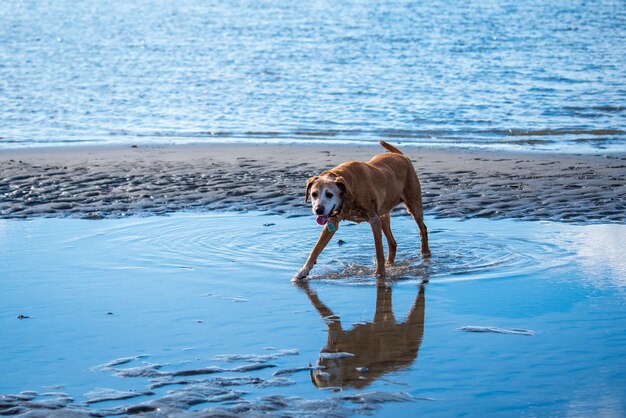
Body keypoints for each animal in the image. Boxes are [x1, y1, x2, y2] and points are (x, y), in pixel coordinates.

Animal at [292, 140, 428, 280]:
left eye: (329, 194)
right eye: (313, 194)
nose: (318, 210)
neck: (349, 190)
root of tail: (402, 156)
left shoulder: (374, 220)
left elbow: (379, 251)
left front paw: (380, 273)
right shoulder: (332, 223)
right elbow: (316, 249)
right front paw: (303, 270)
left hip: (413, 204)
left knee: (422, 228)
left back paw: (425, 253)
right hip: (384, 215)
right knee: (392, 242)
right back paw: (390, 263)